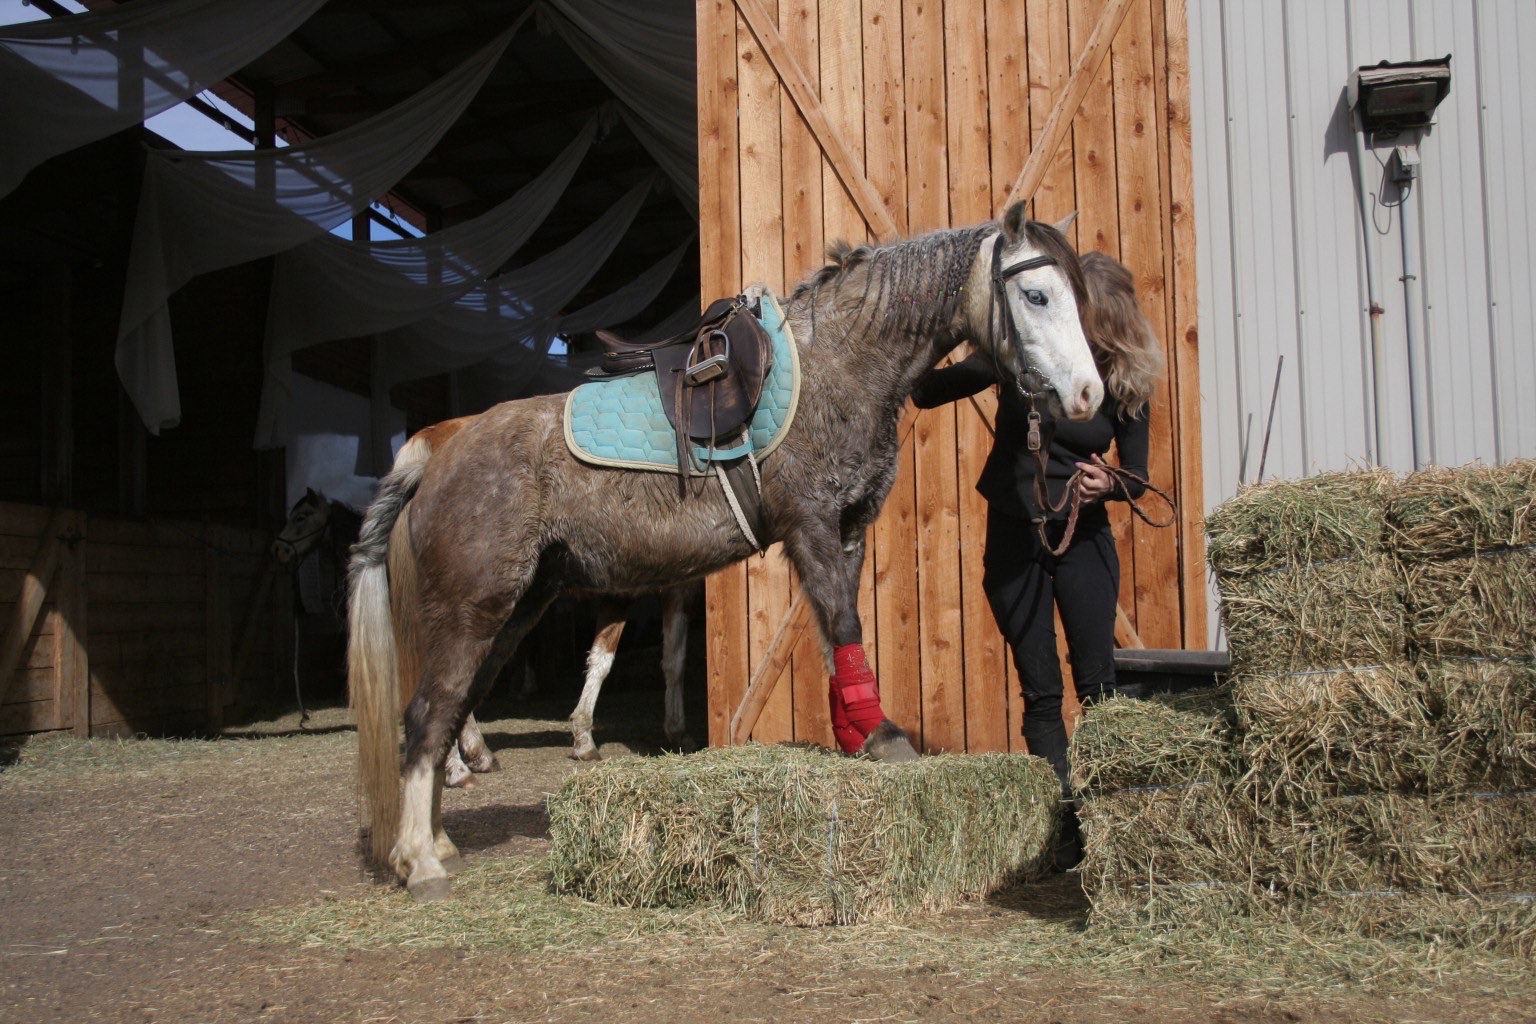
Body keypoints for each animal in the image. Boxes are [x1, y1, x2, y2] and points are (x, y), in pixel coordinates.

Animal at [348, 202, 1104, 898]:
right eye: (1036, 295)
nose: (1089, 393)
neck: (840, 361)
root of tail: (436, 452)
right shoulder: (810, 525)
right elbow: (843, 624)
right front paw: (883, 735)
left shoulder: (846, 531)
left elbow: (834, 634)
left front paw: (852, 735)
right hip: (473, 609)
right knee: (426, 715)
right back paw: (418, 861)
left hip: (517, 610)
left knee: (451, 710)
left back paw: (438, 841)